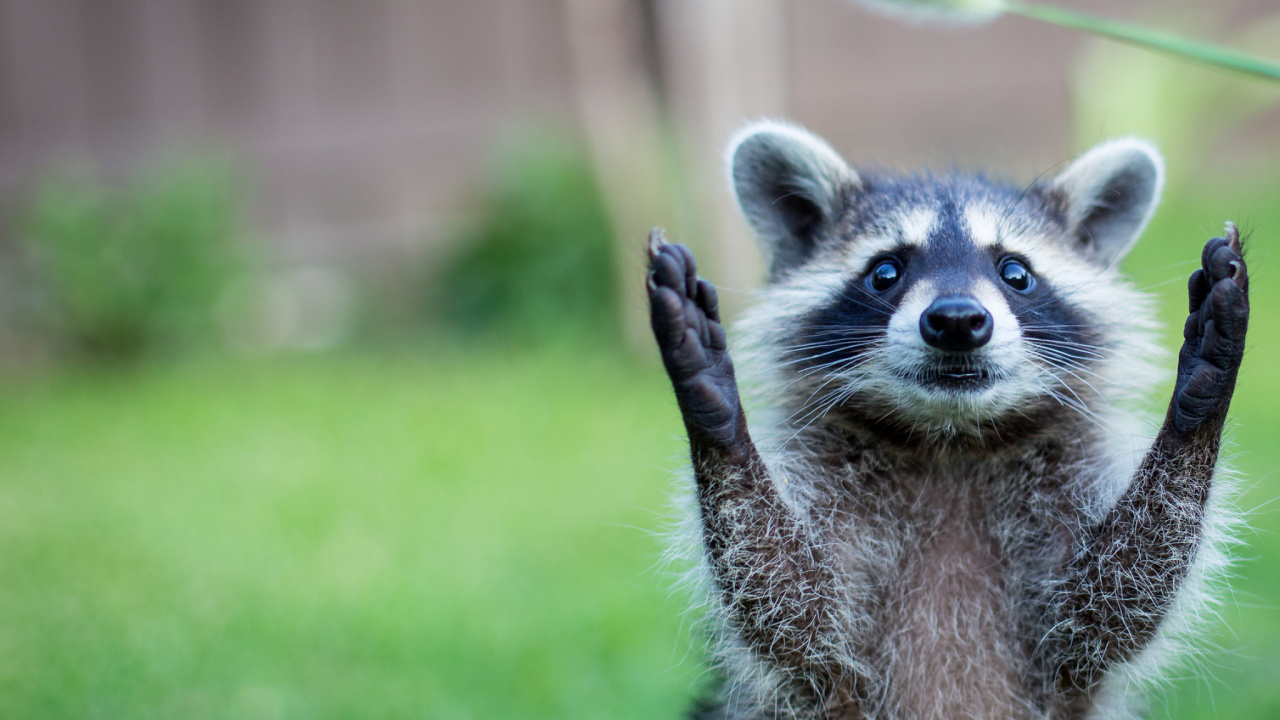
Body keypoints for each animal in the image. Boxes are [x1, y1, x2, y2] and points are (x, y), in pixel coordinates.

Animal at [646, 121, 1249, 720]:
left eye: (1016, 272)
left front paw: (1197, 405)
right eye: (886, 271)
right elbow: (790, 602)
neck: (951, 440)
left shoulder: (1070, 488)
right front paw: (717, 416)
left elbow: (1112, 598)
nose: (957, 319)